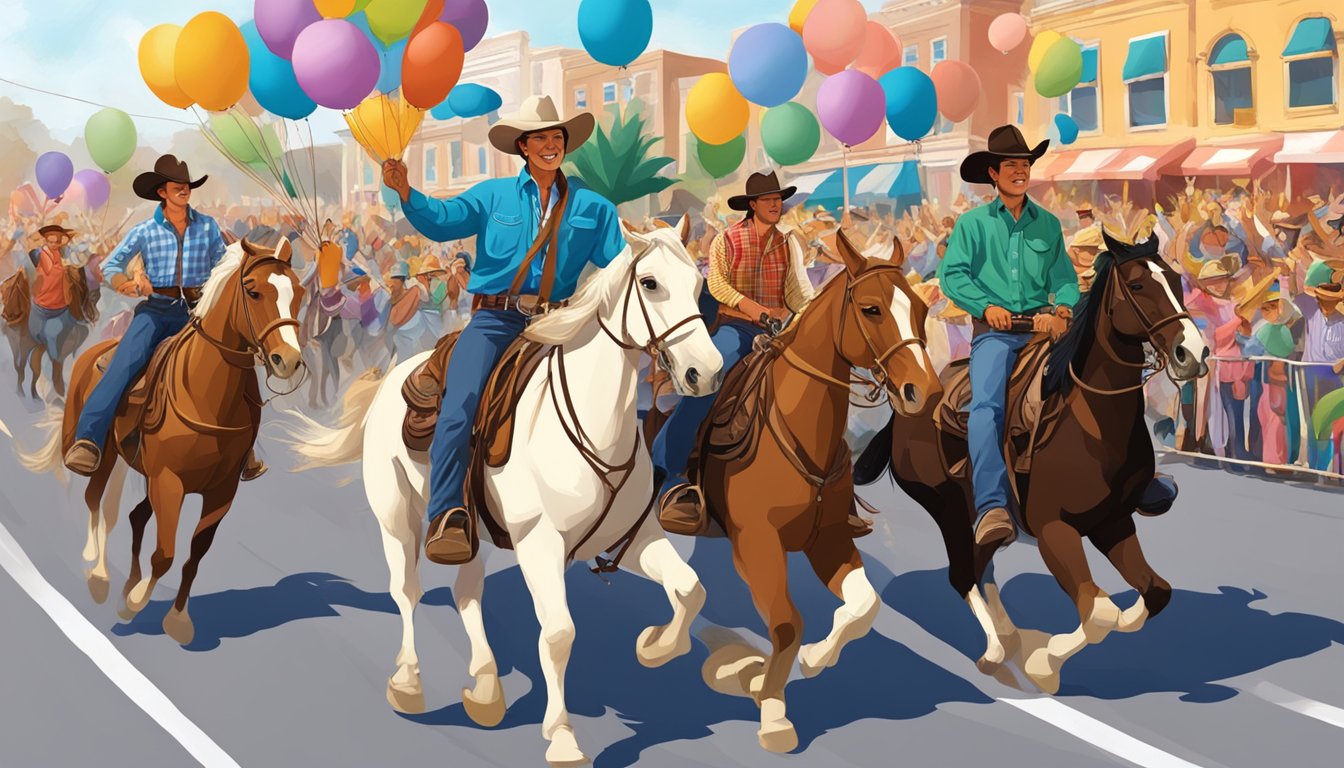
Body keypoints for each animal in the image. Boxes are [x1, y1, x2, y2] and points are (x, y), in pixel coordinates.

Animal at [25, 239, 305, 642]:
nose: (289, 361)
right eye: (253, 291)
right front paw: (133, 603)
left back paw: (126, 580)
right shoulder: (169, 483)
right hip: (105, 456)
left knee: (135, 516)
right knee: (94, 501)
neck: (207, 394)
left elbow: (194, 555)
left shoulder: (222, 491)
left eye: (298, 292)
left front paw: (177, 619)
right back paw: (99, 575)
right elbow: (165, 554)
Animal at [284, 217, 725, 768]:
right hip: (395, 514)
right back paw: (408, 682)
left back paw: (486, 688)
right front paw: (562, 736)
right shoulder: (540, 545)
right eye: (650, 283)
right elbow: (558, 634)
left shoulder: (635, 537)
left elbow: (690, 589)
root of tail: (393, 375)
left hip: (471, 530)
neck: (596, 425)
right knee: (405, 591)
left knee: (466, 592)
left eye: (699, 287)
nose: (706, 373)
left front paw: (655, 647)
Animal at [688, 229, 940, 758]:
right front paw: (772, 711)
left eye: (920, 309)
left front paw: (811, 659)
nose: (923, 391)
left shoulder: (828, 540)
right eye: (871, 309)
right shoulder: (756, 543)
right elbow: (786, 622)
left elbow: (864, 606)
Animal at [854, 231, 1214, 694]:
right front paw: (1044, 665)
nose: (1194, 353)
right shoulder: (1053, 530)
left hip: (979, 514)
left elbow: (1155, 592)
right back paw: (995, 651)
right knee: (963, 575)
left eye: (1175, 280)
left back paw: (1009, 636)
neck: (1091, 423)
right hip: (946, 506)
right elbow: (1099, 613)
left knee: (982, 566)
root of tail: (908, 404)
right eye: (1137, 285)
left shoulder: (1113, 521)